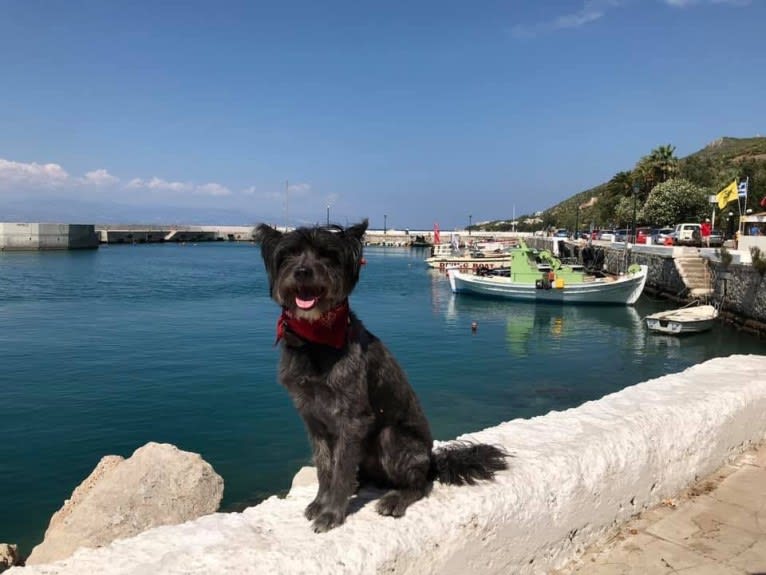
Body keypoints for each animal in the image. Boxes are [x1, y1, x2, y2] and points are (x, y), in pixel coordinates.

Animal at [256, 222, 510, 536]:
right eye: (289, 254)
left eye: (327, 255)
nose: (303, 272)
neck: (316, 340)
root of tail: (432, 460)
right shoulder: (313, 419)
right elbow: (325, 467)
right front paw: (320, 502)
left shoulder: (352, 419)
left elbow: (340, 470)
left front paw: (331, 513)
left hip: (393, 439)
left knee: (420, 484)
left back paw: (396, 498)